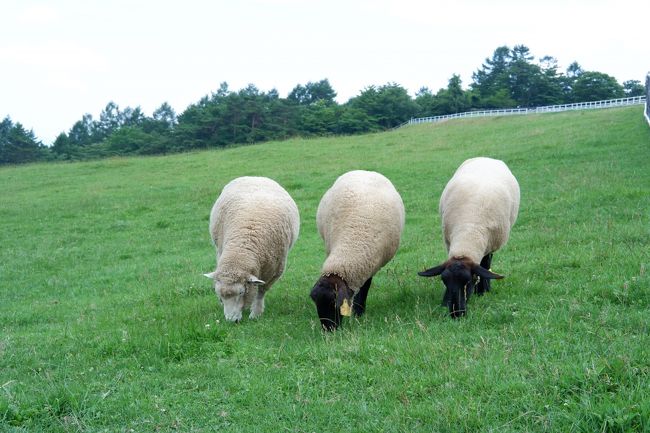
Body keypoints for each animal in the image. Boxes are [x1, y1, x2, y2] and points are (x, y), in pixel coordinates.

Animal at [204, 176, 300, 320]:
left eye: (241, 292)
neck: (241, 249)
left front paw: (256, 313)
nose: (231, 321)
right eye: (218, 293)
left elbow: (261, 291)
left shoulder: (274, 270)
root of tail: (255, 177)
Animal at [310, 170, 404, 330]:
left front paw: (359, 312)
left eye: (334, 304)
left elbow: (365, 286)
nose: (329, 331)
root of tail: (365, 171)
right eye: (316, 304)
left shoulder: (371, 263)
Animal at [418, 156, 520, 318]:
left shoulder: (488, 245)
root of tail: (487, 158)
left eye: (469, 281)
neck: (469, 230)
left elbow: (484, 266)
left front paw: (483, 290)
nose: (456, 314)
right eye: (444, 281)